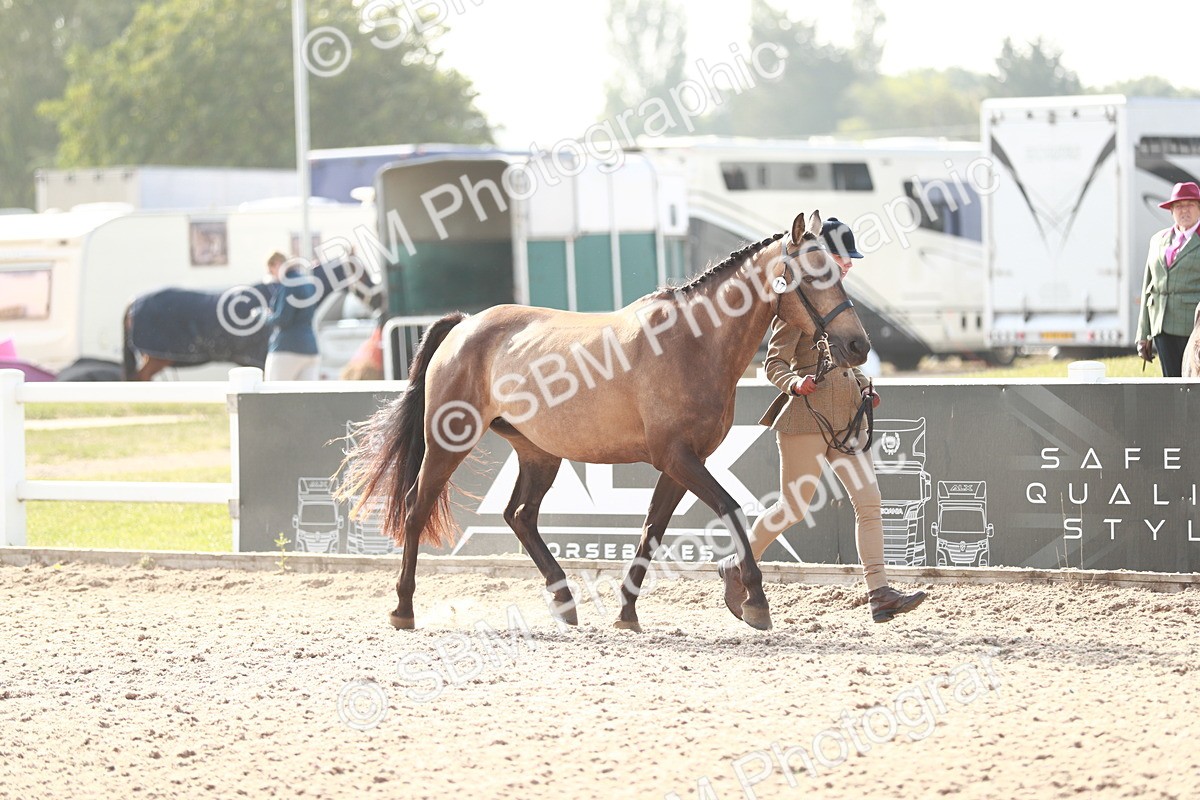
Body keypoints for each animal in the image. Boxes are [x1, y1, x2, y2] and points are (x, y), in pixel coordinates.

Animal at [337, 211, 871, 632]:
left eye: (838, 272)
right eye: (813, 273)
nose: (858, 345)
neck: (692, 342)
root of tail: (465, 325)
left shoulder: (678, 464)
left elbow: (650, 531)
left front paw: (626, 613)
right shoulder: (679, 458)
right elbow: (732, 511)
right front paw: (756, 603)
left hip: (538, 452)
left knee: (519, 515)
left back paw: (564, 600)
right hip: (448, 441)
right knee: (416, 509)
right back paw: (403, 609)